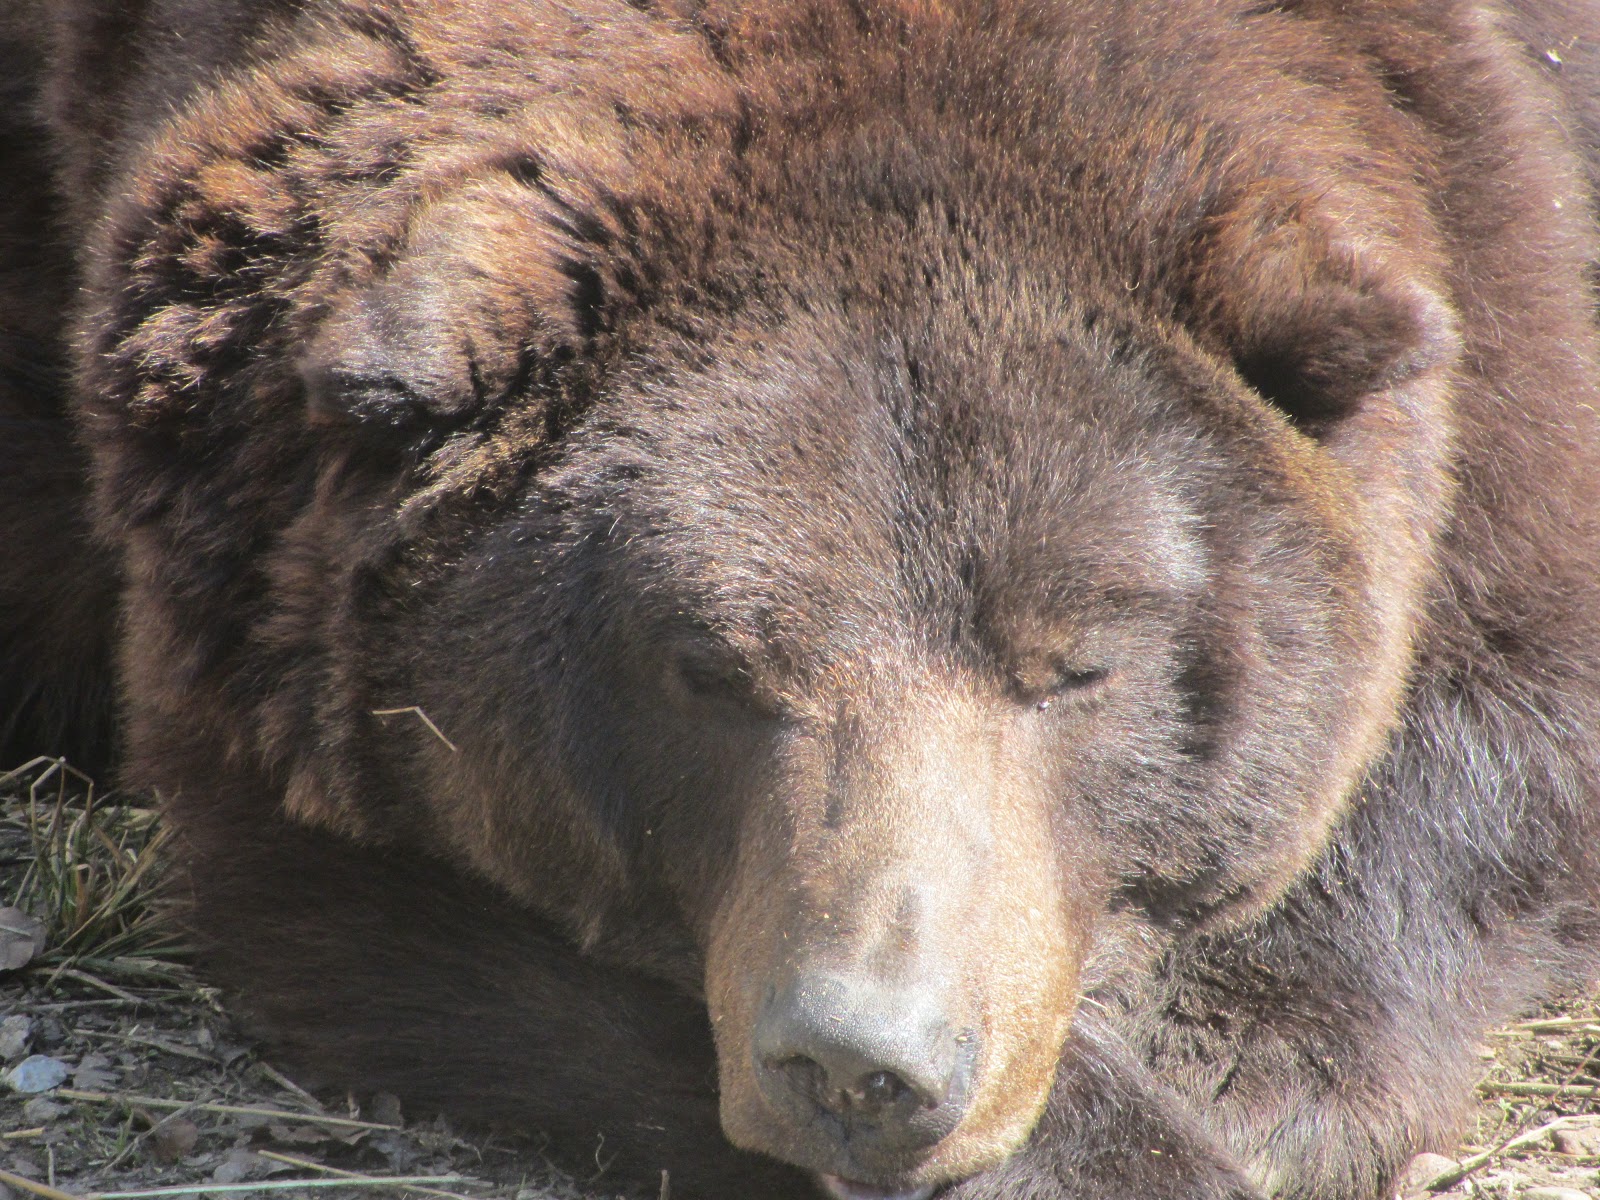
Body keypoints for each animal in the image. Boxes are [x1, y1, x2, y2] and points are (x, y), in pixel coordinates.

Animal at [2, 0, 1600, 1197]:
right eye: (708, 666)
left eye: (1077, 664)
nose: (865, 1065)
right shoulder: (270, 599)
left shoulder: (1484, 202)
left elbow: (1492, 713)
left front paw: (1250, 1060)